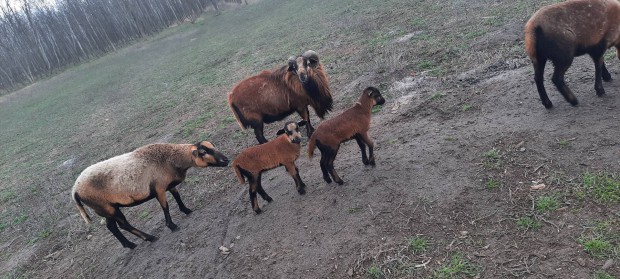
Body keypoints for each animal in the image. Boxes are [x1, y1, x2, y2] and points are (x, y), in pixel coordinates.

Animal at [70, 142, 229, 249]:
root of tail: (75, 190)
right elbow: (165, 207)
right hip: (106, 207)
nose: (226, 160)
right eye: (203, 152)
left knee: (112, 227)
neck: (170, 160)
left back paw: (130, 245)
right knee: (123, 225)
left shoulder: (168, 185)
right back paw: (150, 238)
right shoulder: (159, 188)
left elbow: (177, 196)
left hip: (106, 208)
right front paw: (172, 226)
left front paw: (187, 210)